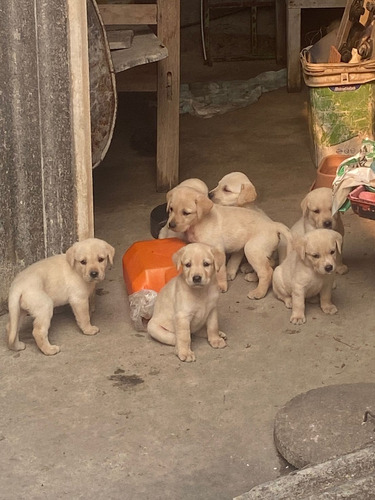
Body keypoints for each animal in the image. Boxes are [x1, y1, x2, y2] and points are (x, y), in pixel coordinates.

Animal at [165, 186, 294, 298]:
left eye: (186, 213)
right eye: (171, 209)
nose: (171, 225)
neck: (199, 222)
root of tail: (274, 225)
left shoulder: (218, 250)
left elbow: (220, 271)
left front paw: (221, 286)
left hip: (252, 249)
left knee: (266, 271)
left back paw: (259, 292)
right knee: (269, 264)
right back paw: (253, 276)